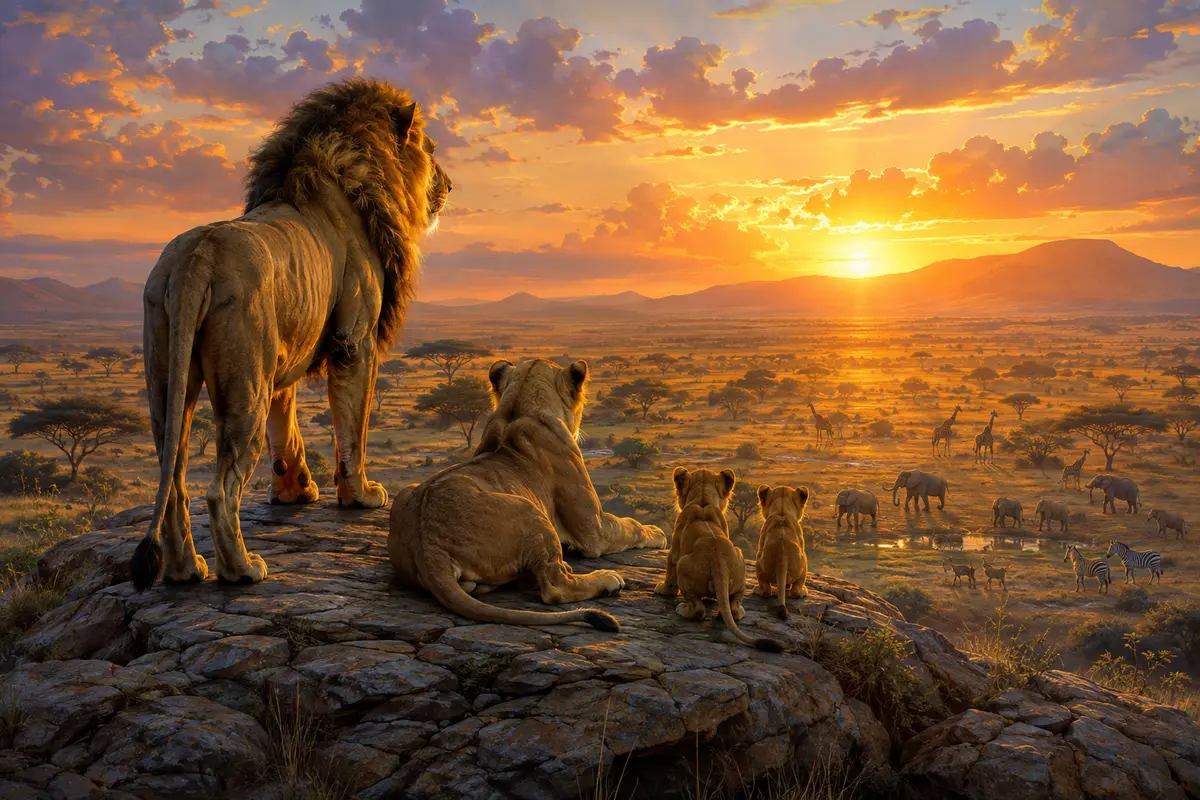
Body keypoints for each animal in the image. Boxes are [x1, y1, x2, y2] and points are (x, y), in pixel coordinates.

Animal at [130, 78, 451, 589]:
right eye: (432, 150)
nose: (450, 184)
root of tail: (195, 259)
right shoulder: (355, 340)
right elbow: (354, 427)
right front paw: (359, 494)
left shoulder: (284, 349)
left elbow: (288, 429)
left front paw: (294, 492)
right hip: (246, 385)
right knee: (220, 489)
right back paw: (242, 570)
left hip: (167, 375)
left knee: (175, 477)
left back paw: (187, 570)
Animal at [387, 359, 667, 630]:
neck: (518, 410)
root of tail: (427, 546)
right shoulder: (595, 531)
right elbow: (629, 526)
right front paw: (658, 533)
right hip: (530, 511)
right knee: (555, 587)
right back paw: (606, 579)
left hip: (406, 493)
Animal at [655, 467, 783, 652]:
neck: (703, 501)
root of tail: (719, 565)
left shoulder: (675, 548)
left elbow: (670, 569)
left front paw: (662, 589)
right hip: (739, 560)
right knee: (733, 608)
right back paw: (738, 611)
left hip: (683, 565)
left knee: (698, 610)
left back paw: (682, 609)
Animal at [754, 484, 810, 619]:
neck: (782, 511)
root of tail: (782, 559)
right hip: (804, 562)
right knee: (792, 591)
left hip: (759, 561)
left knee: (768, 590)